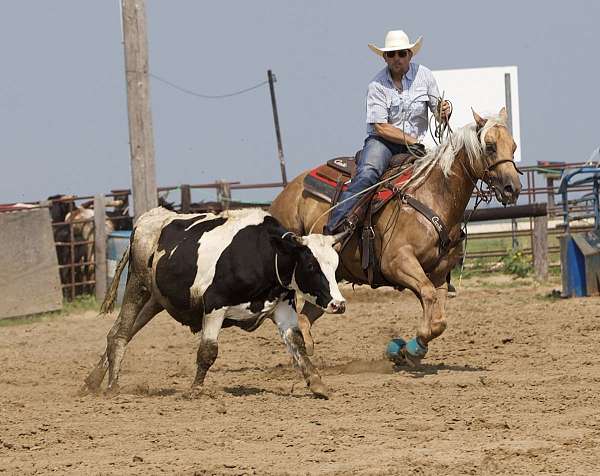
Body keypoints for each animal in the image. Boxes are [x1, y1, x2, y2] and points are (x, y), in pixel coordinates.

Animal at [84, 207, 346, 398]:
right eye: (311, 265)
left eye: (335, 264)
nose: (339, 304)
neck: (266, 254)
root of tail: (145, 220)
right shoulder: (214, 305)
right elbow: (208, 350)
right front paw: (195, 390)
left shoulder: (283, 307)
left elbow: (297, 343)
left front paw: (317, 384)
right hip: (137, 285)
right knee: (120, 333)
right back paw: (112, 386)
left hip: (156, 300)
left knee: (122, 332)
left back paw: (91, 382)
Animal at [270, 108, 524, 364]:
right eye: (490, 146)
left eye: (513, 146)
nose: (512, 188)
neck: (431, 196)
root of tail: (285, 194)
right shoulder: (397, 263)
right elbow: (428, 296)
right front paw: (408, 348)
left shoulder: (439, 274)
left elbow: (439, 319)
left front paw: (409, 348)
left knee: (305, 318)